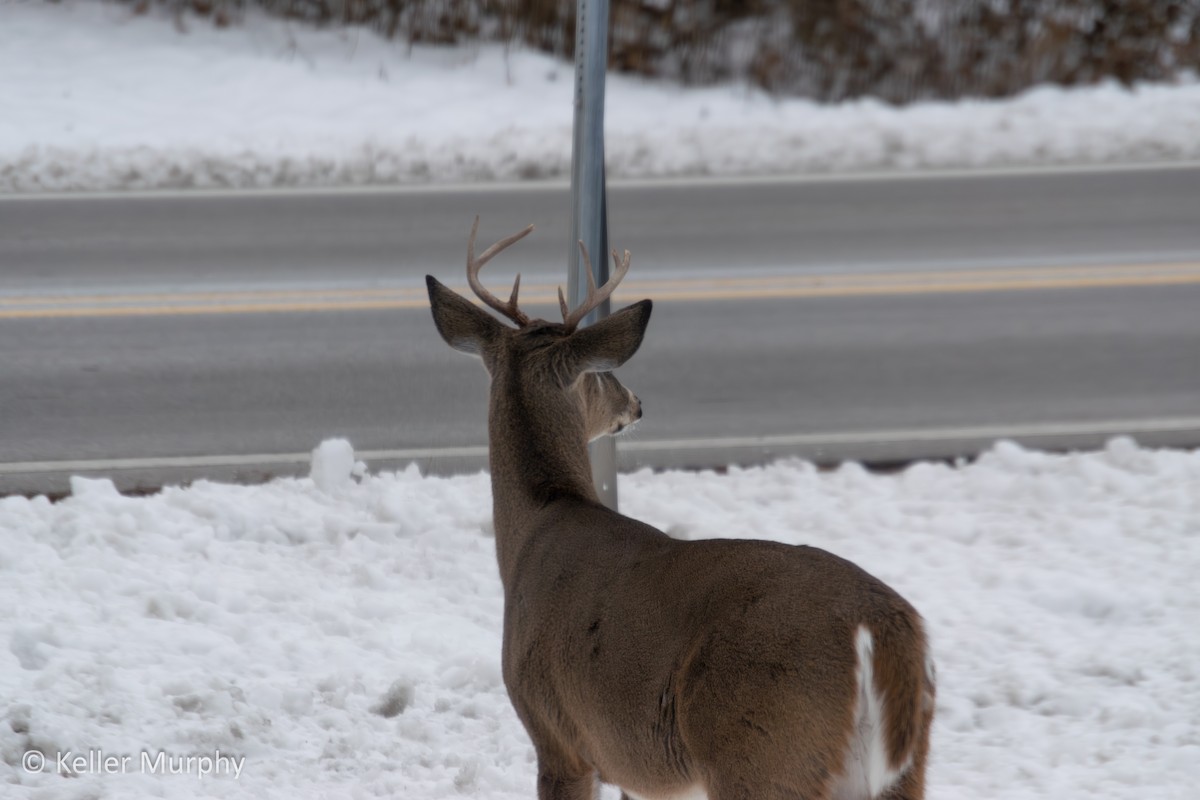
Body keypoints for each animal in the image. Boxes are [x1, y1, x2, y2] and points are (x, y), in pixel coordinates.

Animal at [425, 218, 936, 800]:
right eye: (600, 375)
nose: (637, 403)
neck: (537, 525)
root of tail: (879, 631)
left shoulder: (557, 735)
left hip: (759, 752)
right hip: (903, 768)